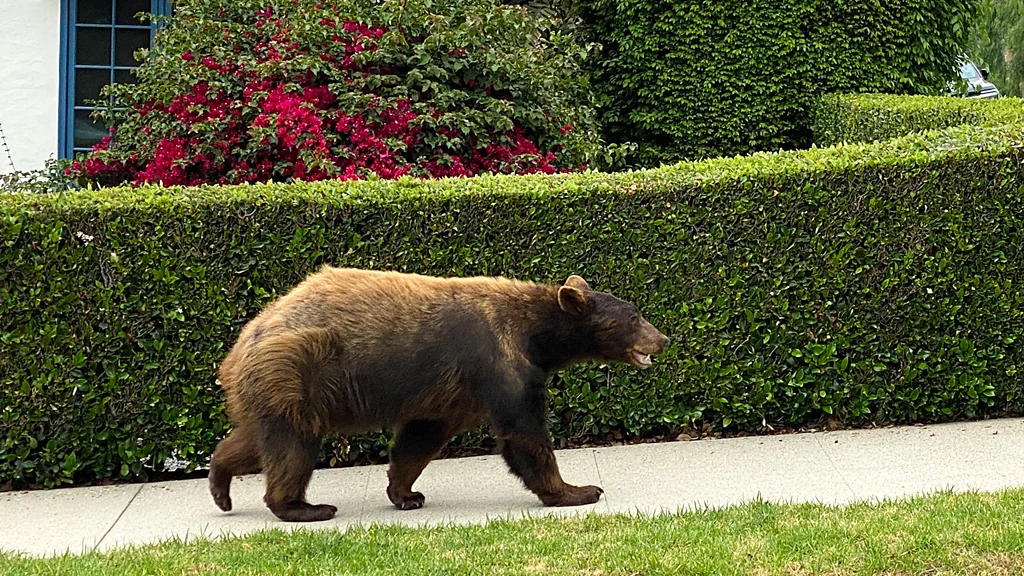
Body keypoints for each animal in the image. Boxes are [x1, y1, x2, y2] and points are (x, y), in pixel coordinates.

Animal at [207, 264, 671, 520]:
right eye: (634, 317)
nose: (663, 339)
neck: (537, 336)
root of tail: (238, 349)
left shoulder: (449, 391)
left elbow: (421, 436)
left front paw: (406, 493)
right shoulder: (497, 362)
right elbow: (523, 433)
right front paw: (578, 490)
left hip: (270, 389)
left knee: (256, 440)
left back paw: (221, 485)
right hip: (295, 372)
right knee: (293, 445)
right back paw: (305, 507)